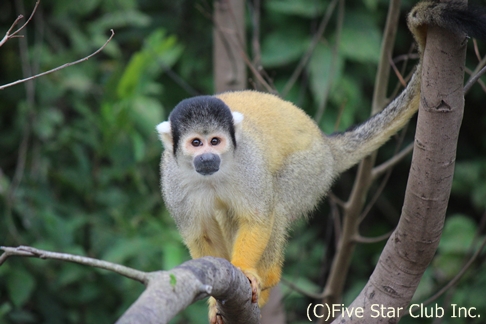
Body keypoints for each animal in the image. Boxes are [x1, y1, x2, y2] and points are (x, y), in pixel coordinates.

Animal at [158, 1, 484, 322]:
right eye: (196, 143)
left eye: (215, 141)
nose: (207, 157)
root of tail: (324, 143)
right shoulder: (173, 179)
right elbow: (200, 233)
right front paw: (216, 299)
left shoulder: (248, 163)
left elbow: (259, 217)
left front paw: (245, 271)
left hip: (312, 168)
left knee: (278, 202)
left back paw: (269, 277)